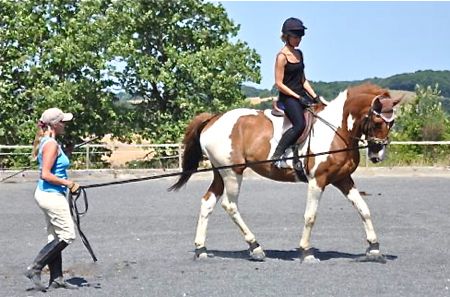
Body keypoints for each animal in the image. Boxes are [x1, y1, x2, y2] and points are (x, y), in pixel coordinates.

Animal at [171, 82, 402, 262]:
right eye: (377, 122)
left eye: (392, 123)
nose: (377, 155)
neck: (337, 129)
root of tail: (213, 118)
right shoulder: (317, 180)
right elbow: (310, 216)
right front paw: (306, 251)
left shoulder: (343, 179)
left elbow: (364, 209)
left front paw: (374, 248)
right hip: (232, 173)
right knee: (229, 205)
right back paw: (255, 247)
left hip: (220, 173)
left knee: (207, 203)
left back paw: (201, 249)